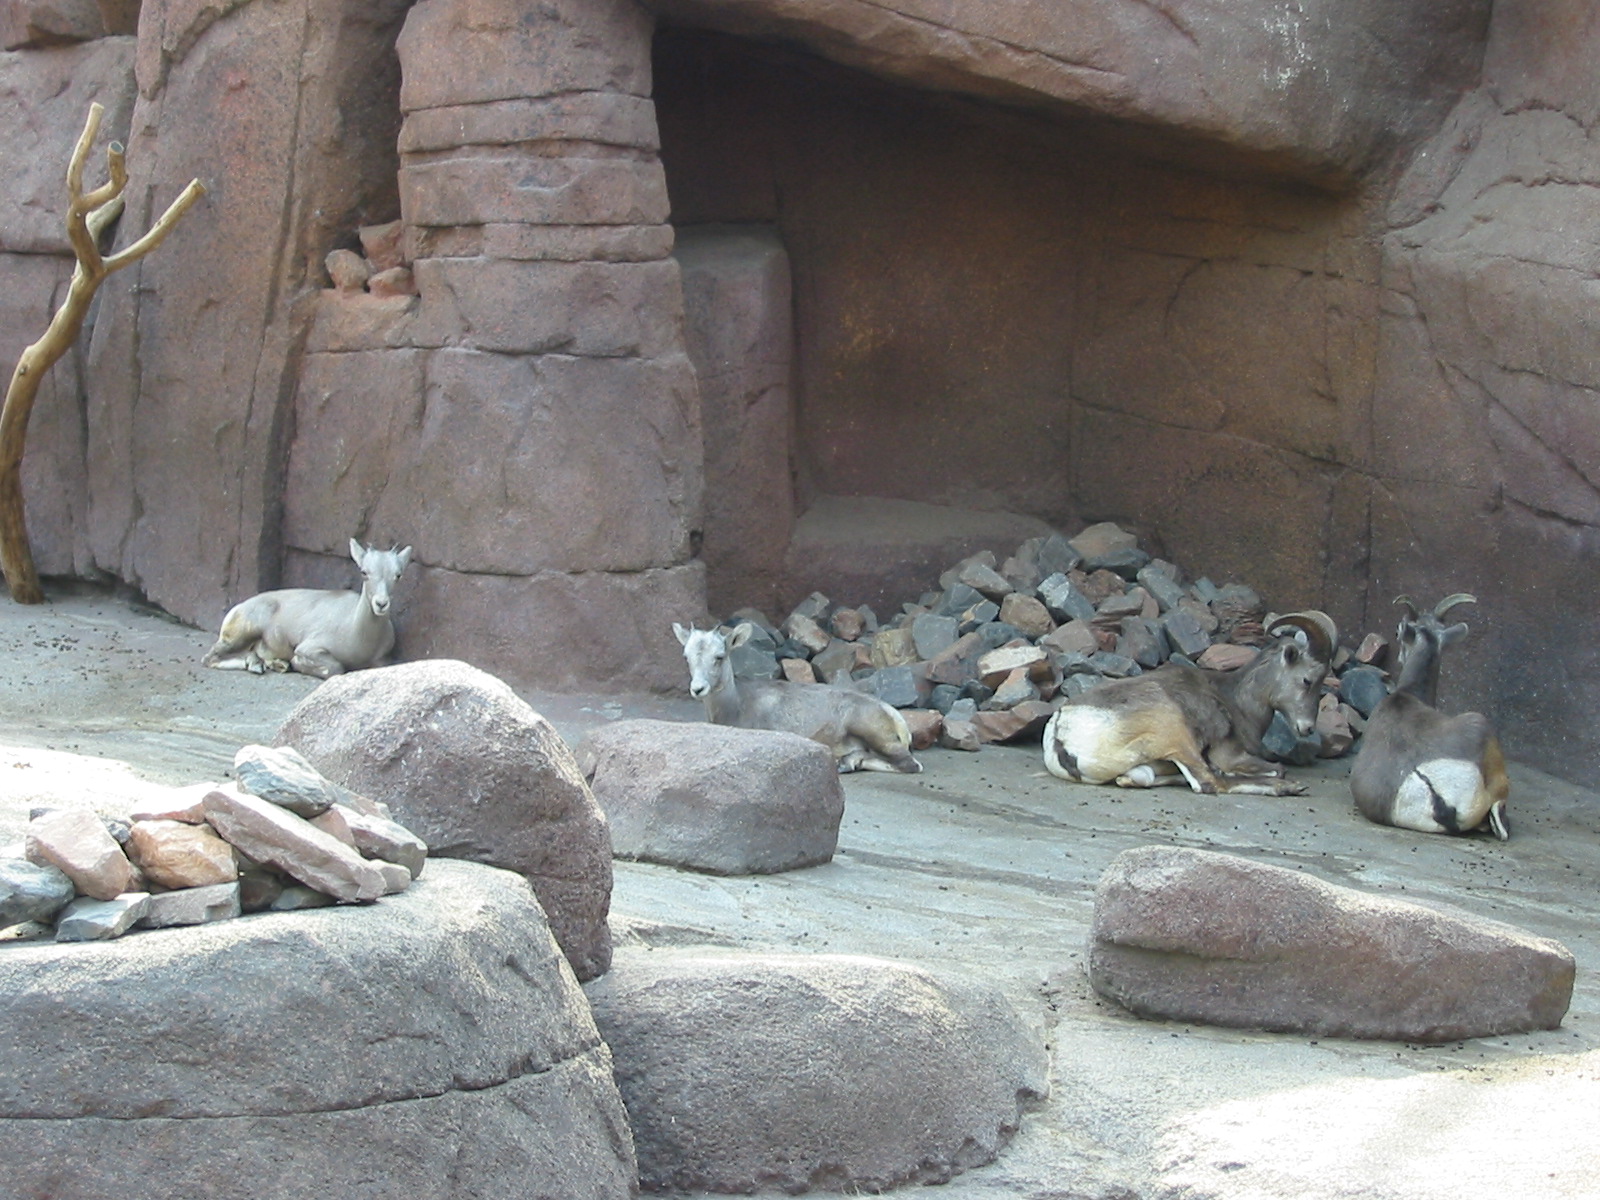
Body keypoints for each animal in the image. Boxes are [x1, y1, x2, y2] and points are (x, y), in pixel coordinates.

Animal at [202, 539, 411, 680]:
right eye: (364, 572)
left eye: (398, 575)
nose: (381, 604)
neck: (359, 637)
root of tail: (236, 610)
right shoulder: (310, 647)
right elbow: (335, 669)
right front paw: (296, 663)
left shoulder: (382, 661)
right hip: (239, 635)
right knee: (210, 658)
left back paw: (272, 664)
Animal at [674, 622, 922, 774]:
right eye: (686, 656)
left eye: (719, 656)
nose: (698, 689)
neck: (736, 705)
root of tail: (894, 716)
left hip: (873, 733)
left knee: (911, 764)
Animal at [1042, 611, 1337, 796]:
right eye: (1308, 680)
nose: (1307, 728)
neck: (1237, 703)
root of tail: (1061, 733)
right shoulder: (1230, 754)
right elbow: (1278, 769)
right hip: (1175, 734)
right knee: (1208, 782)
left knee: (1143, 777)